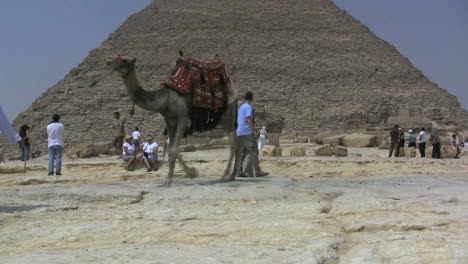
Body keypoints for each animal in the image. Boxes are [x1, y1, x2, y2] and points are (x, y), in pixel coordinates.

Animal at [109, 55, 241, 186]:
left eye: (124, 60)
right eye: (117, 57)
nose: (109, 63)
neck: (164, 99)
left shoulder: (183, 119)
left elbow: (174, 150)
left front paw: (192, 172)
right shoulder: (170, 121)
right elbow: (170, 150)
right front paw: (168, 180)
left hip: (227, 116)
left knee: (234, 144)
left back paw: (225, 176)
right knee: (237, 143)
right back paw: (232, 176)